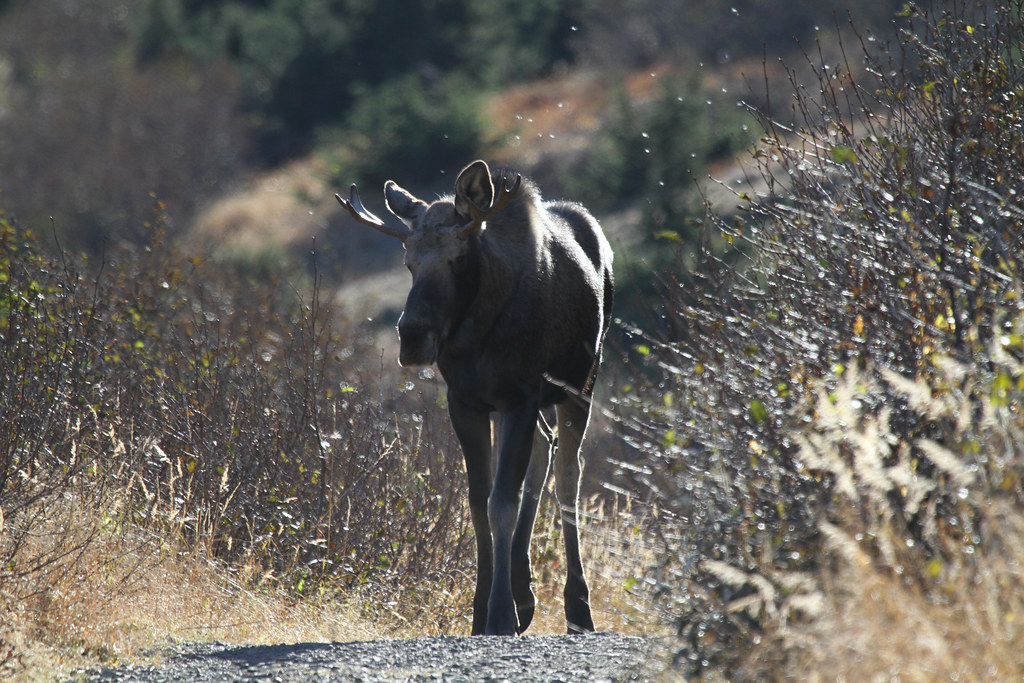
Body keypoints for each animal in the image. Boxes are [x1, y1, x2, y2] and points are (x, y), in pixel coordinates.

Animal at [336, 160, 613, 636]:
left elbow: (502, 501)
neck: (476, 335)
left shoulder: (520, 398)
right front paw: (484, 611)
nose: (413, 338)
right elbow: (479, 502)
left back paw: (577, 608)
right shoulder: (467, 403)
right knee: (545, 448)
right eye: (408, 262)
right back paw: (525, 590)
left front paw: (501, 614)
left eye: (458, 258)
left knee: (567, 476)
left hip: (581, 385)